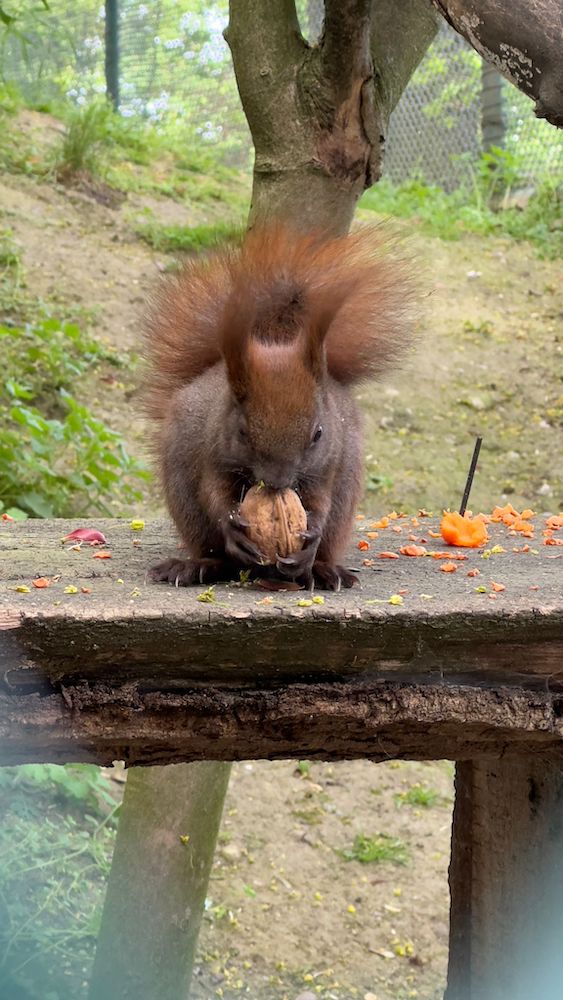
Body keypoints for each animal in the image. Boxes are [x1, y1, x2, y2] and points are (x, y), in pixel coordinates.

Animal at [143, 223, 412, 588]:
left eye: (318, 434)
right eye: (242, 433)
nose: (278, 482)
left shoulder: (327, 463)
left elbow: (320, 500)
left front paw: (311, 537)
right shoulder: (213, 453)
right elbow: (214, 493)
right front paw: (232, 527)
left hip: (346, 494)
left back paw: (322, 570)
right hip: (185, 498)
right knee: (216, 552)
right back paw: (197, 566)